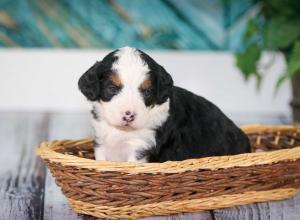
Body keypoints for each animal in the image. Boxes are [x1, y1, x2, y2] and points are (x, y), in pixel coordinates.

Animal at [78, 46, 251, 162]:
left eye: (147, 92)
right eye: (112, 88)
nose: (129, 116)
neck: (123, 132)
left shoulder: (141, 148)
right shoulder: (101, 143)